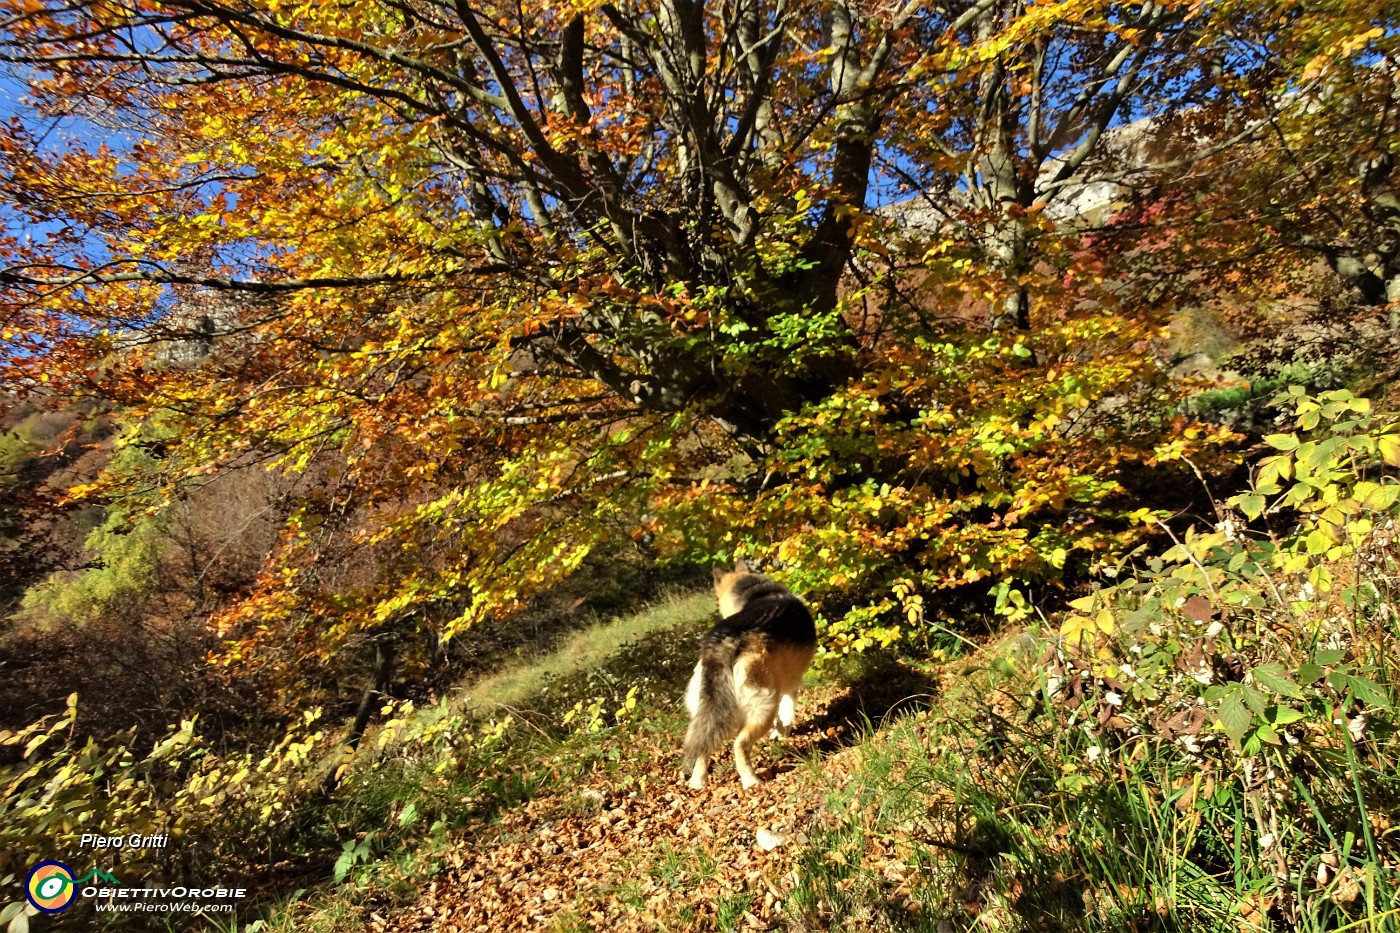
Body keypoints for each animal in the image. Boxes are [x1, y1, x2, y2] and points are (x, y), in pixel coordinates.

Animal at [680, 560, 817, 784]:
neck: (756, 591)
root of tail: (721, 642)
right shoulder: (790, 685)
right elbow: (786, 712)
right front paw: (783, 733)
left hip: (706, 713)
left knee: (703, 749)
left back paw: (698, 783)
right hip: (763, 707)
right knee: (740, 745)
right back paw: (751, 781)